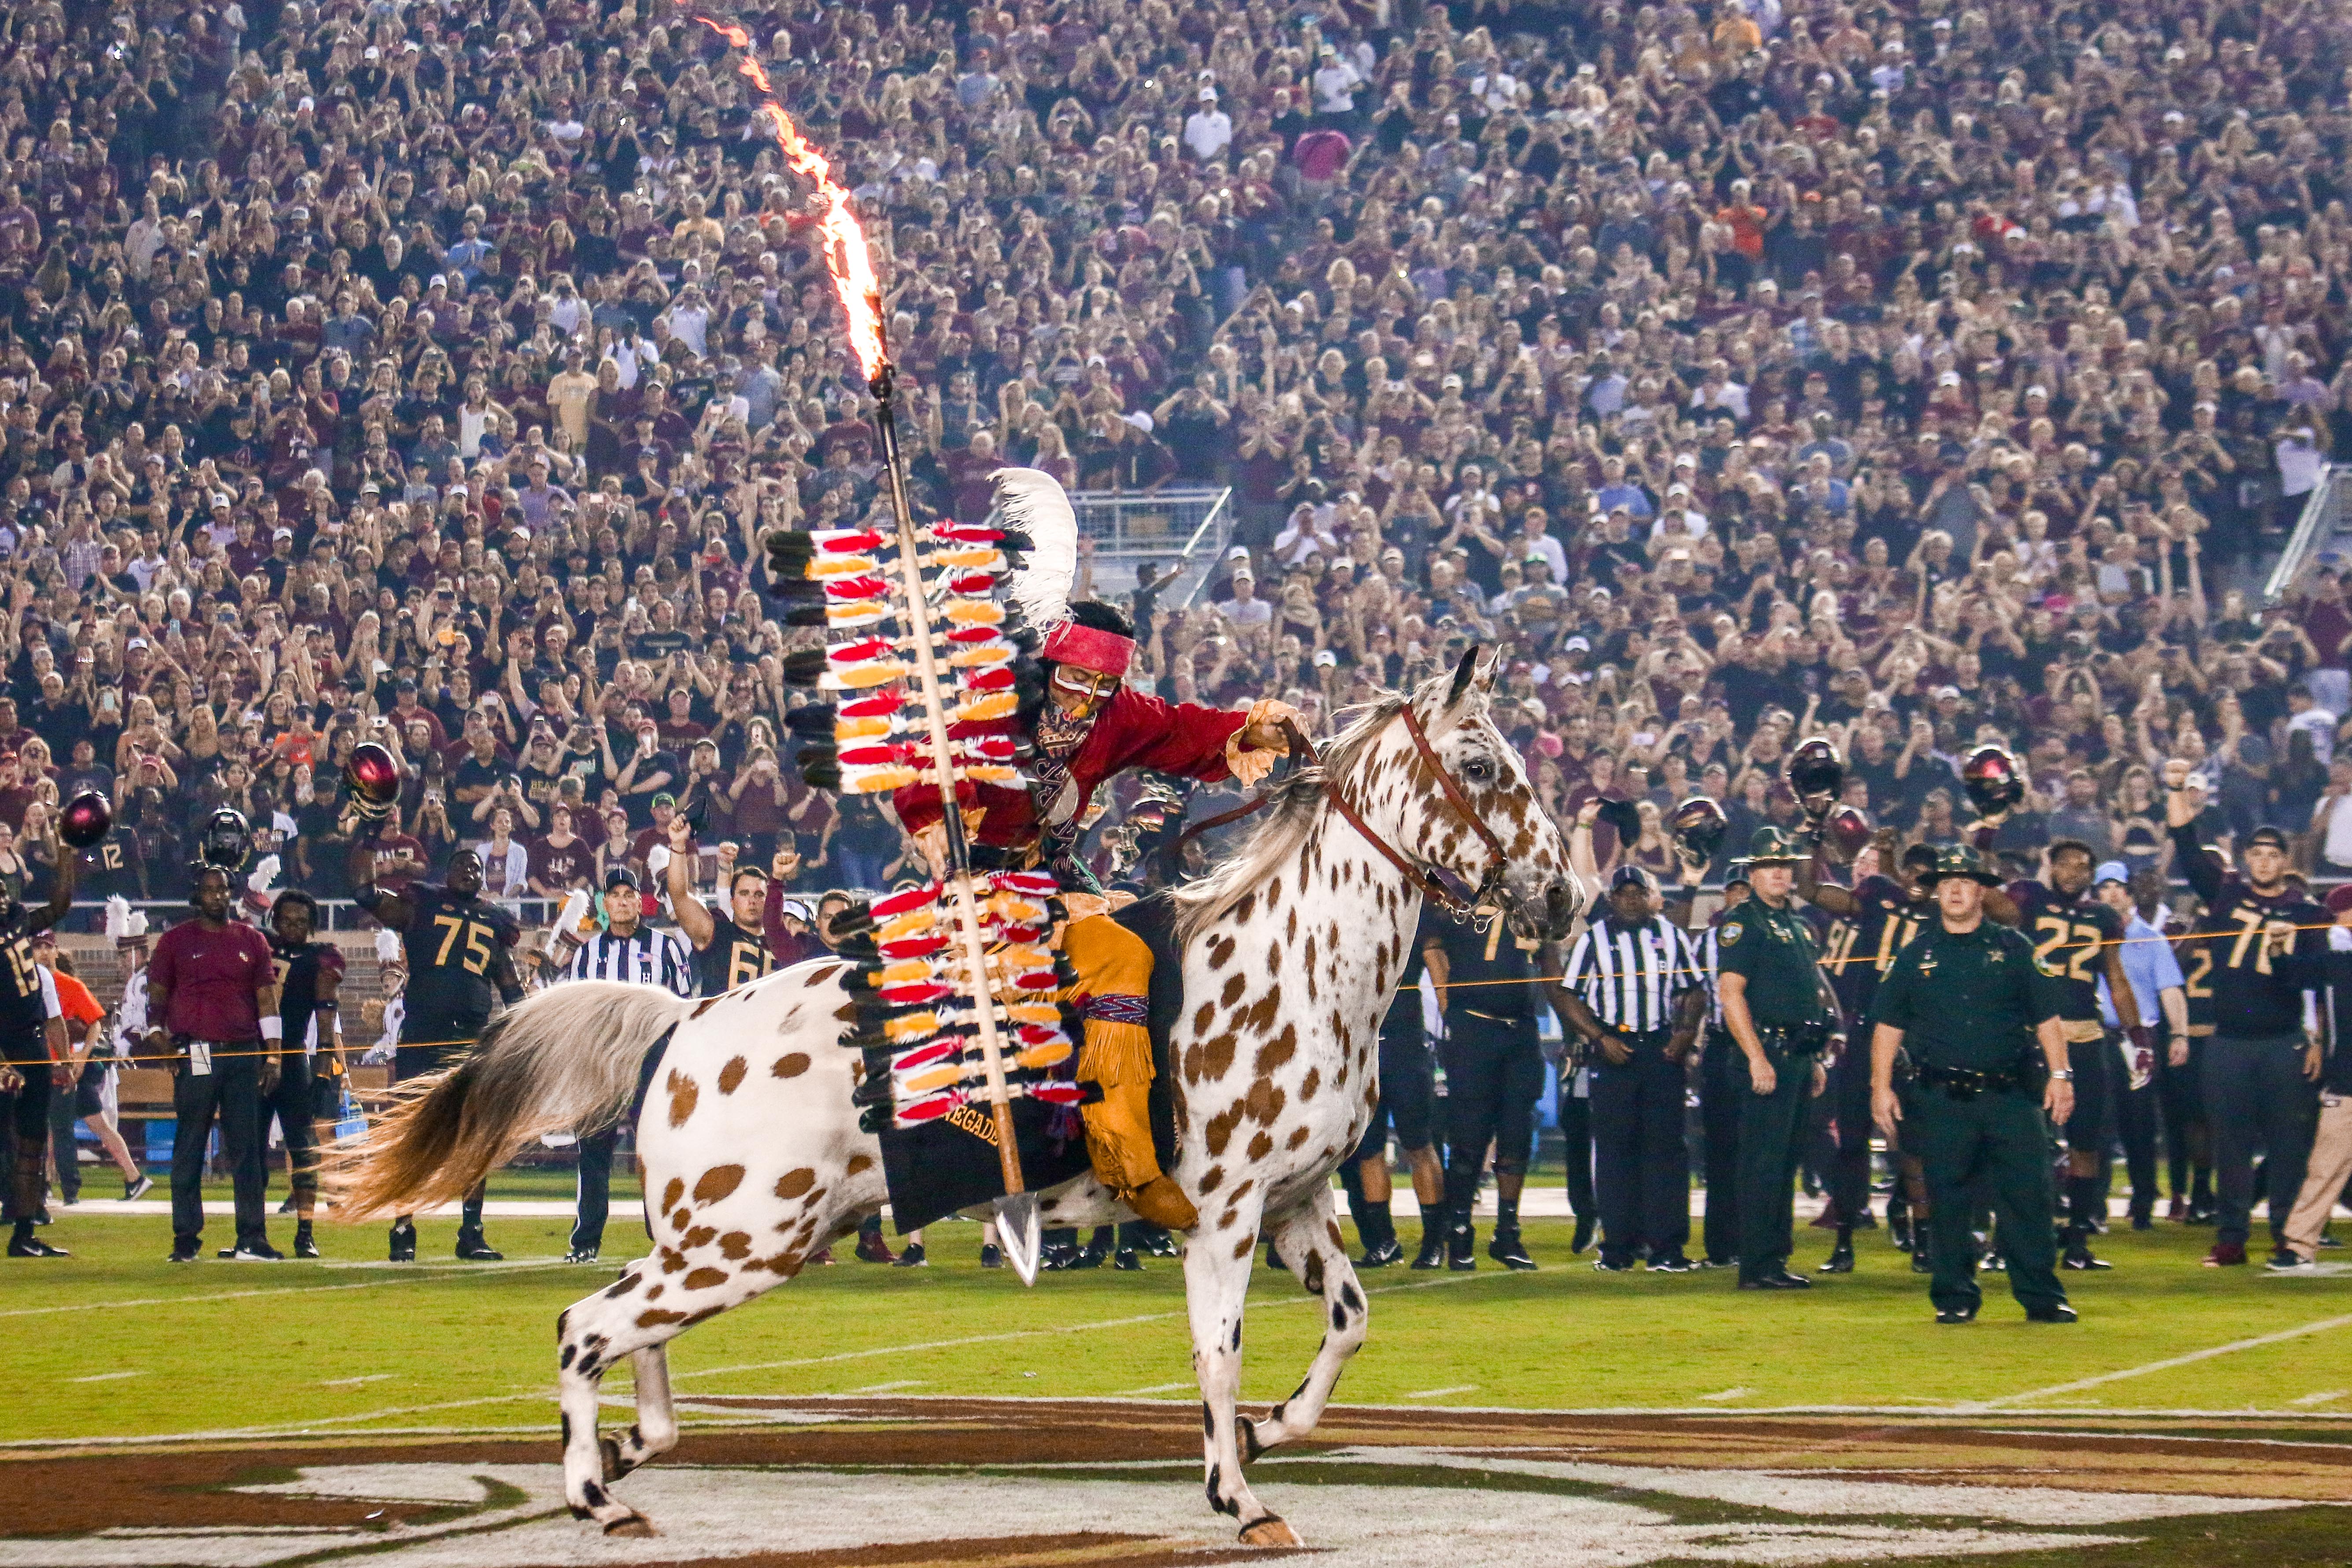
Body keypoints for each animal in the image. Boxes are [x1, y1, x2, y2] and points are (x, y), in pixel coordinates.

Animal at [336, 649, 1580, 1542]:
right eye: (1479, 767)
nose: (1564, 895)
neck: (1295, 961)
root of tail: (687, 1016)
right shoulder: (1222, 1217)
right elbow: (1214, 1351)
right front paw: (1239, 1494)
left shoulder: (1298, 1203)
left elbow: (1349, 1322)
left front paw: (1274, 1432)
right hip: (740, 1241)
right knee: (584, 1326)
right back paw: (595, 1493)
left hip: (725, 1243)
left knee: (630, 1337)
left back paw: (630, 1455)